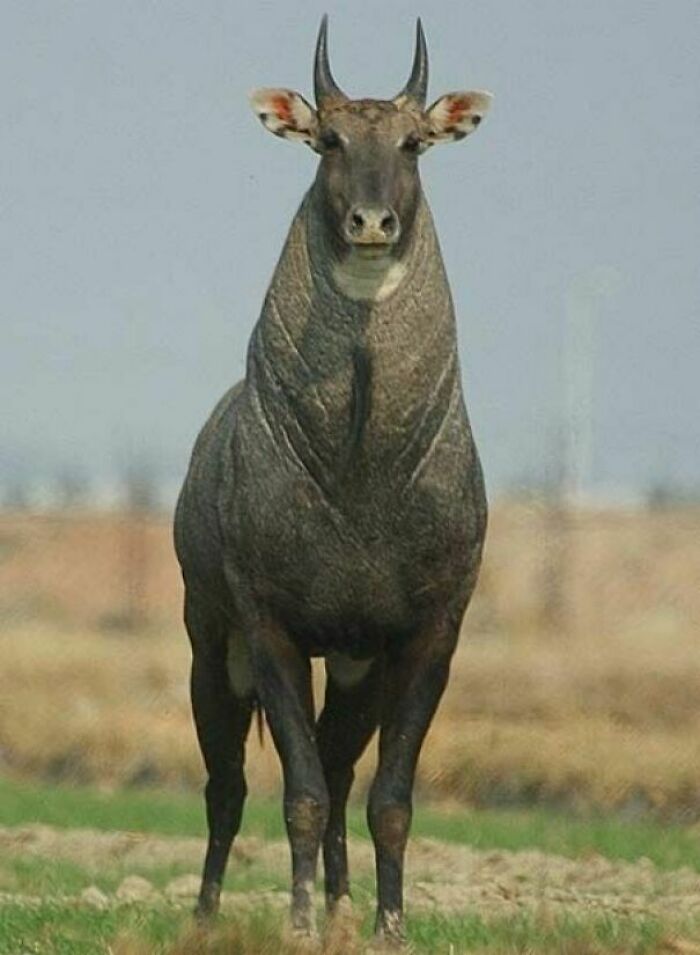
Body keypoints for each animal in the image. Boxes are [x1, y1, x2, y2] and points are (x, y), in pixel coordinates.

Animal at [174, 16, 491, 943]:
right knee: (227, 783)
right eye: (329, 140)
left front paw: (388, 926)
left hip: (353, 666)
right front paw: (299, 924)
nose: (372, 221)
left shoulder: (426, 634)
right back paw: (207, 913)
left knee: (345, 769)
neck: (358, 468)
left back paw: (349, 903)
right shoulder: (269, 626)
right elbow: (302, 794)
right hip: (211, 644)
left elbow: (388, 798)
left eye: (414, 142)